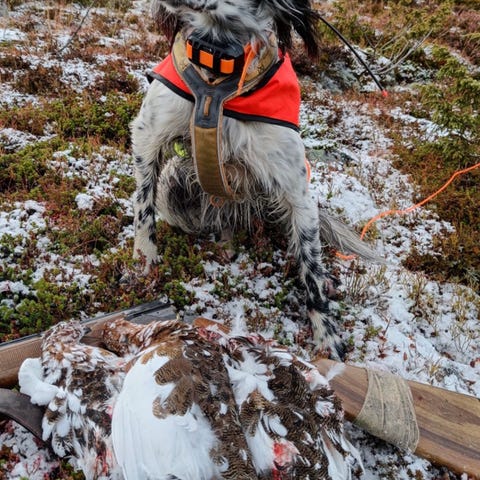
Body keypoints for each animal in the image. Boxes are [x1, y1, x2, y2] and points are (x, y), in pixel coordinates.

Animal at [132, 0, 376, 359]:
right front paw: (144, 264)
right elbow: (143, 211)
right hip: (174, 186)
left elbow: (310, 267)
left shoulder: (297, 189)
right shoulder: (148, 137)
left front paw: (326, 334)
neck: (219, 66)